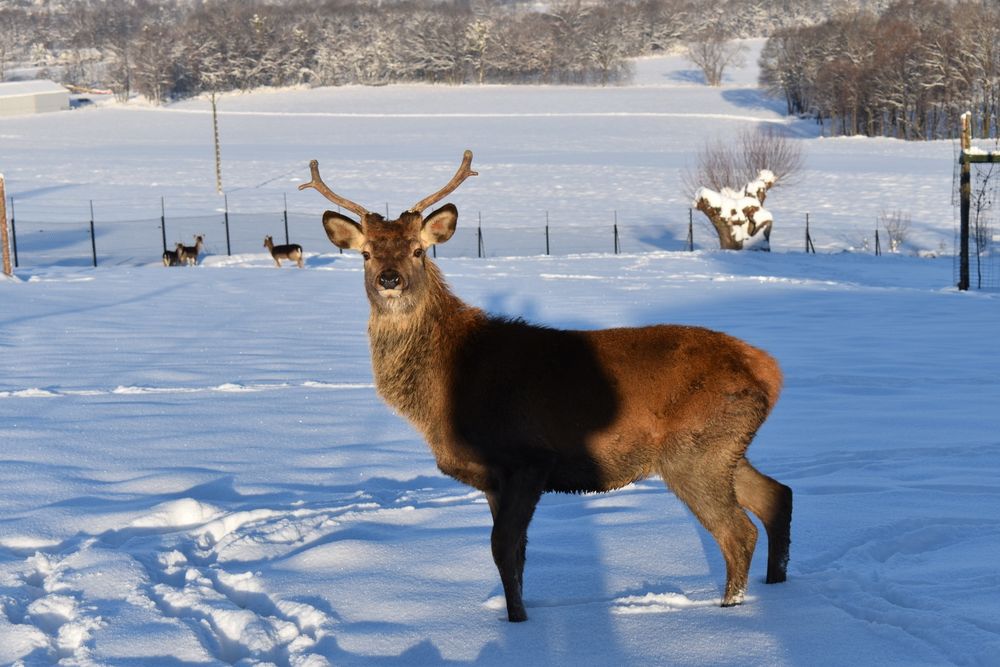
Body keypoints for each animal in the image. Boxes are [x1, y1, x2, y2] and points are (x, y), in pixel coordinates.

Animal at [296, 149, 788, 624]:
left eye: (419, 250)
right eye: (366, 254)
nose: (390, 279)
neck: (444, 387)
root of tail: (770, 369)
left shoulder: (528, 458)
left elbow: (502, 549)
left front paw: (519, 625)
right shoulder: (495, 478)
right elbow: (516, 556)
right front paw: (517, 615)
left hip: (695, 451)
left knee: (738, 531)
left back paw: (731, 610)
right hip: (722, 446)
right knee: (777, 495)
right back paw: (777, 587)